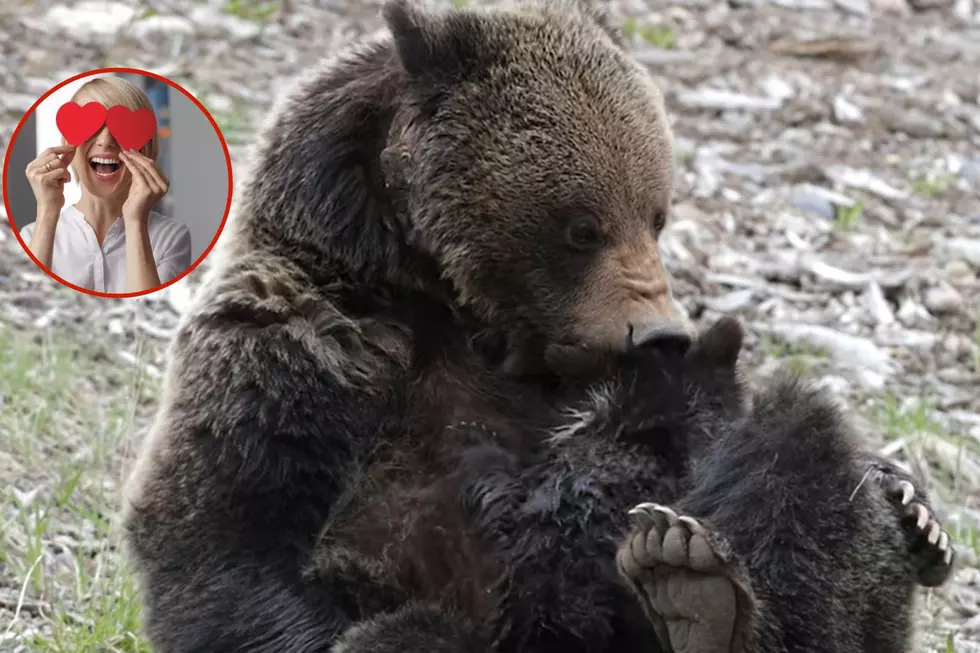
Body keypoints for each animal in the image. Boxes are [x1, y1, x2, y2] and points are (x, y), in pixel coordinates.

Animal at [120, 1, 948, 652]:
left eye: (657, 214)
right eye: (582, 226)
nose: (660, 333)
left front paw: (913, 506)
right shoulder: (303, 348)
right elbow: (234, 542)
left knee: (803, 448)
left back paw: (710, 594)